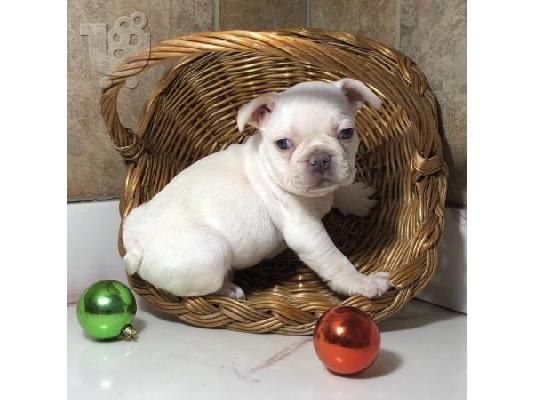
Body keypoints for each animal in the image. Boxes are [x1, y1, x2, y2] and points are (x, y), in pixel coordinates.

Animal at [122, 79, 391, 299]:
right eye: (283, 144)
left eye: (347, 133)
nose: (320, 158)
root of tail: (135, 242)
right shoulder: (305, 232)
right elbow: (335, 261)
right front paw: (363, 283)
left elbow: (339, 190)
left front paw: (356, 198)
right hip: (211, 251)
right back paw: (228, 288)